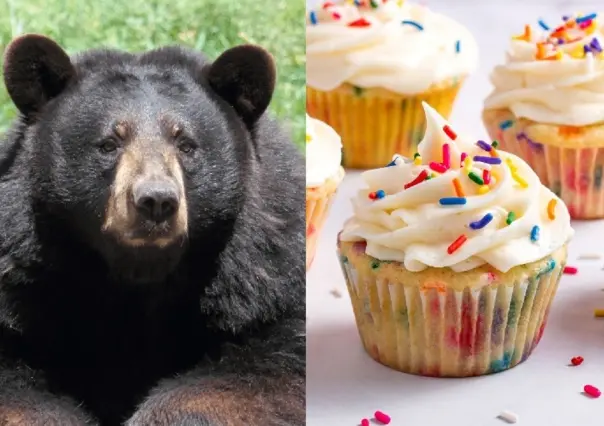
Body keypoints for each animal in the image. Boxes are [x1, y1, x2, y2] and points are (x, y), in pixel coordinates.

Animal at [0, 34, 304, 426]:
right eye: (109, 143)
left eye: (186, 144)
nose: (156, 200)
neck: (139, 275)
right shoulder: (24, 284)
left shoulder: (264, 280)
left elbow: (268, 370)